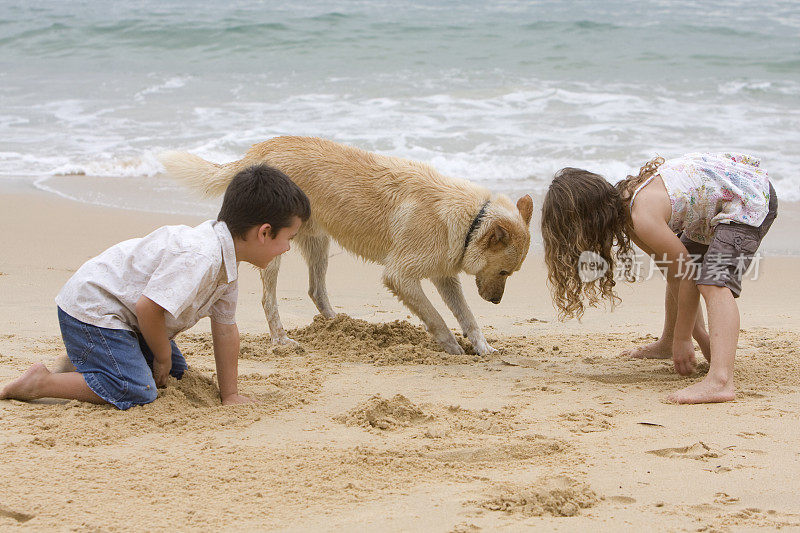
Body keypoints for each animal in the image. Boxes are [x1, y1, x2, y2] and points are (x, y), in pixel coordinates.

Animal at [159, 136, 536, 354]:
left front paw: (483, 347)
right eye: (505, 271)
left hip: (318, 243)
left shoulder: (444, 276)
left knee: (315, 290)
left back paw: (338, 326)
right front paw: (449, 344)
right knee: (269, 300)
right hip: (272, 250)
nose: (497, 301)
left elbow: (467, 315)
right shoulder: (400, 276)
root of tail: (257, 151)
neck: (471, 219)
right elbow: (436, 316)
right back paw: (281, 340)